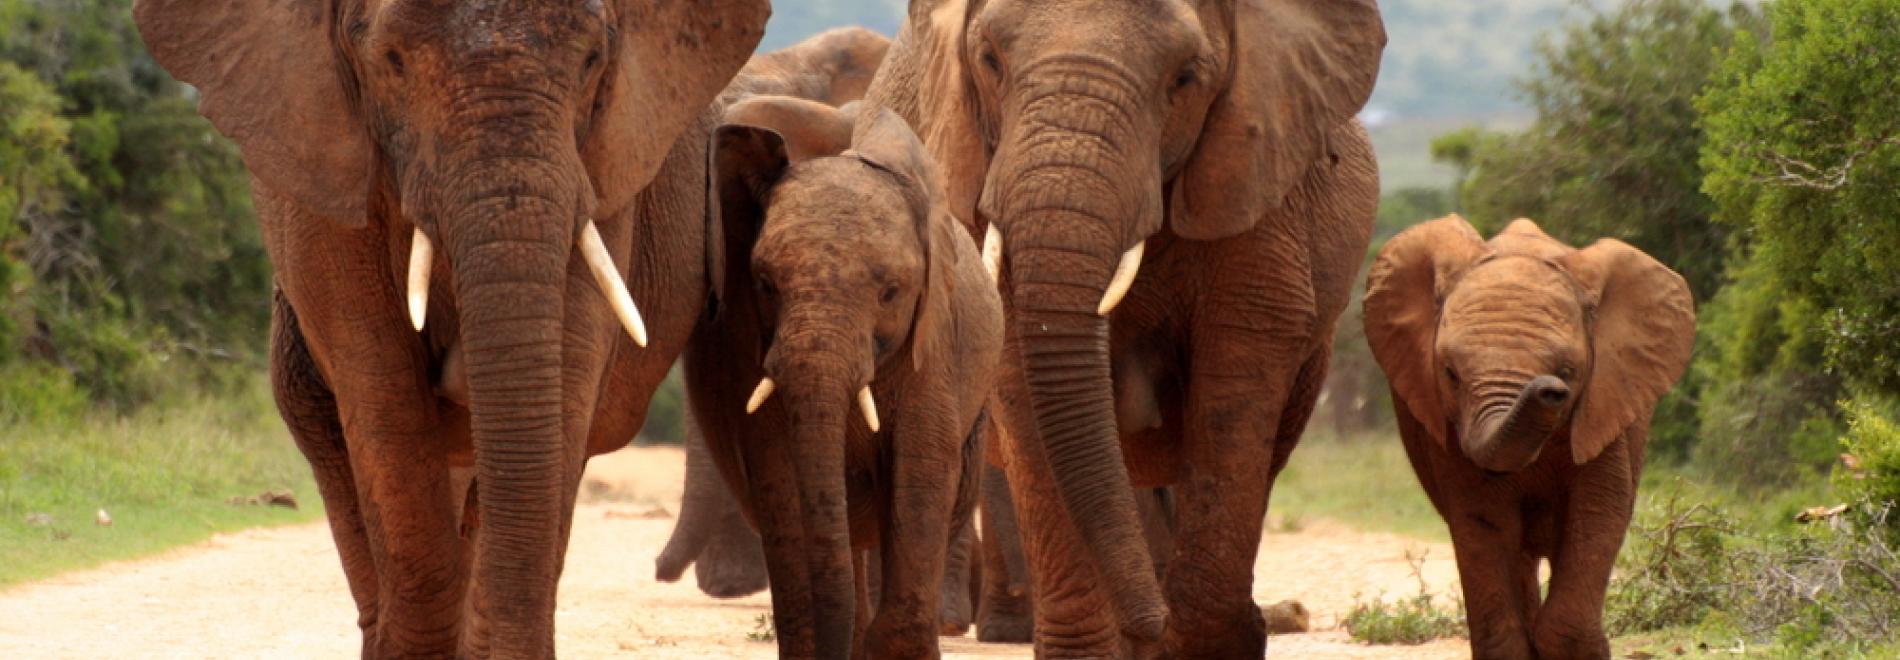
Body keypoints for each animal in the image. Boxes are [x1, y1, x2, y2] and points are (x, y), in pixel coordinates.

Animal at [135, 0, 771, 658]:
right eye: (392, 61)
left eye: (593, 59)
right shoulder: (323, 188)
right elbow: (382, 391)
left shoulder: (604, 171)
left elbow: (562, 382)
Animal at [855, 0, 1390, 654]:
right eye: (990, 61)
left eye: (1184, 78)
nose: (1152, 626)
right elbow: (1027, 380)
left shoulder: (1255, 178)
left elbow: (1236, 384)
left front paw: (1205, 644)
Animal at [1368, 216, 1694, 660]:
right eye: (1450, 374)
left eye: (1568, 371)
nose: (1550, 390)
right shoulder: (1449, 433)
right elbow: (1482, 518)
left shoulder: (1603, 409)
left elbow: (1599, 510)